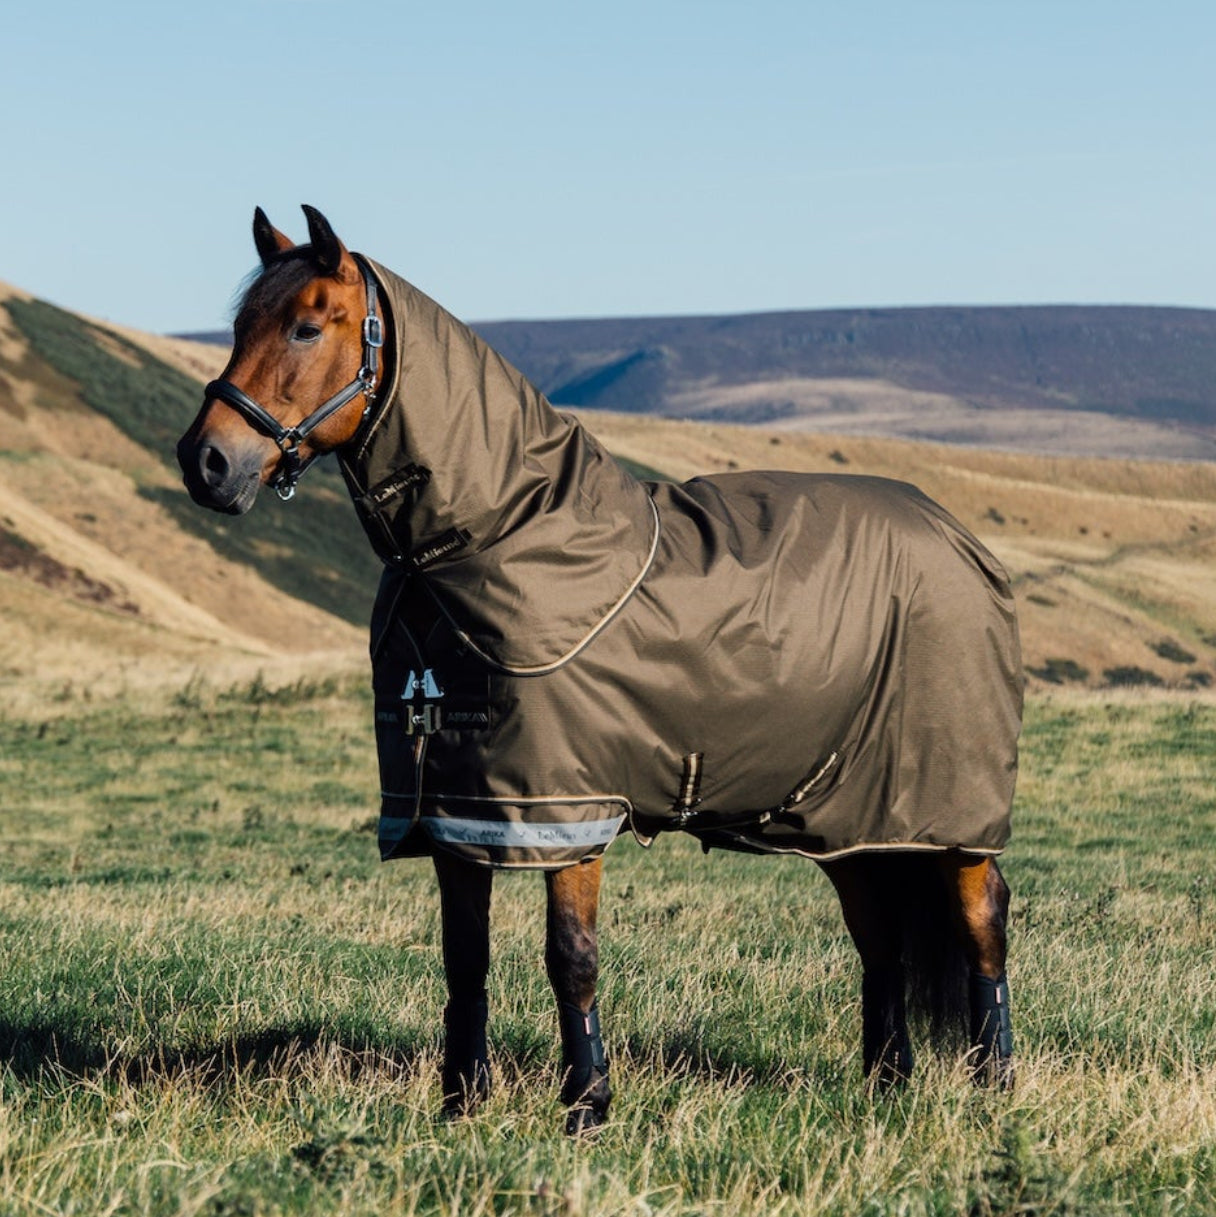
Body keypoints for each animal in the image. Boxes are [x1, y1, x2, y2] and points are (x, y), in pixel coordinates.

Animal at [177, 205, 1022, 1134]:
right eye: (239, 325)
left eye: (306, 324)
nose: (205, 461)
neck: (502, 532)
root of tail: (958, 538)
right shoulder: (453, 812)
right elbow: (464, 960)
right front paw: (461, 1103)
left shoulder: (568, 809)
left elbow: (570, 957)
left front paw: (586, 1103)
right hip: (851, 813)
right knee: (881, 936)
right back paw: (887, 1080)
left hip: (950, 807)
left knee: (982, 919)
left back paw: (994, 1081)